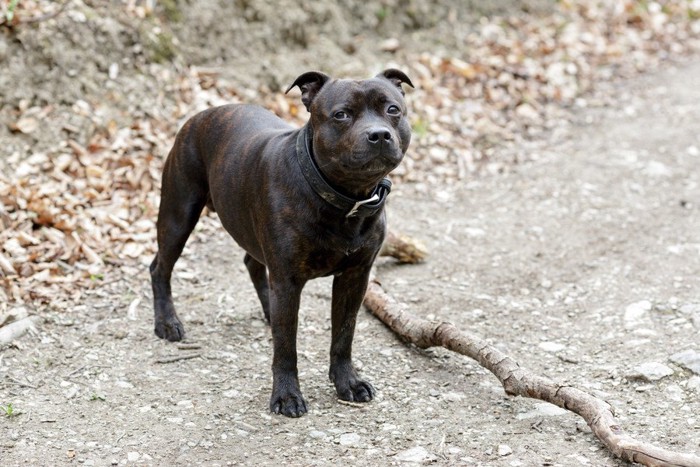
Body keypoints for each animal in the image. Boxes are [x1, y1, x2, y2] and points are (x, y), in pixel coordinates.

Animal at [148, 68, 410, 416]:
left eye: (392, 109)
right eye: (341, 114)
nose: (379, 134)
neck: (345, 200)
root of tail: (201, 115)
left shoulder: (354, 278)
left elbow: (344, 334)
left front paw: (347, 382)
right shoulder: (287, 279)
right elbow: (286, 347)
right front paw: (287, 396)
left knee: (251, 263)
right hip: (179, 214)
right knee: (160, 267)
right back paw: (167, 323)